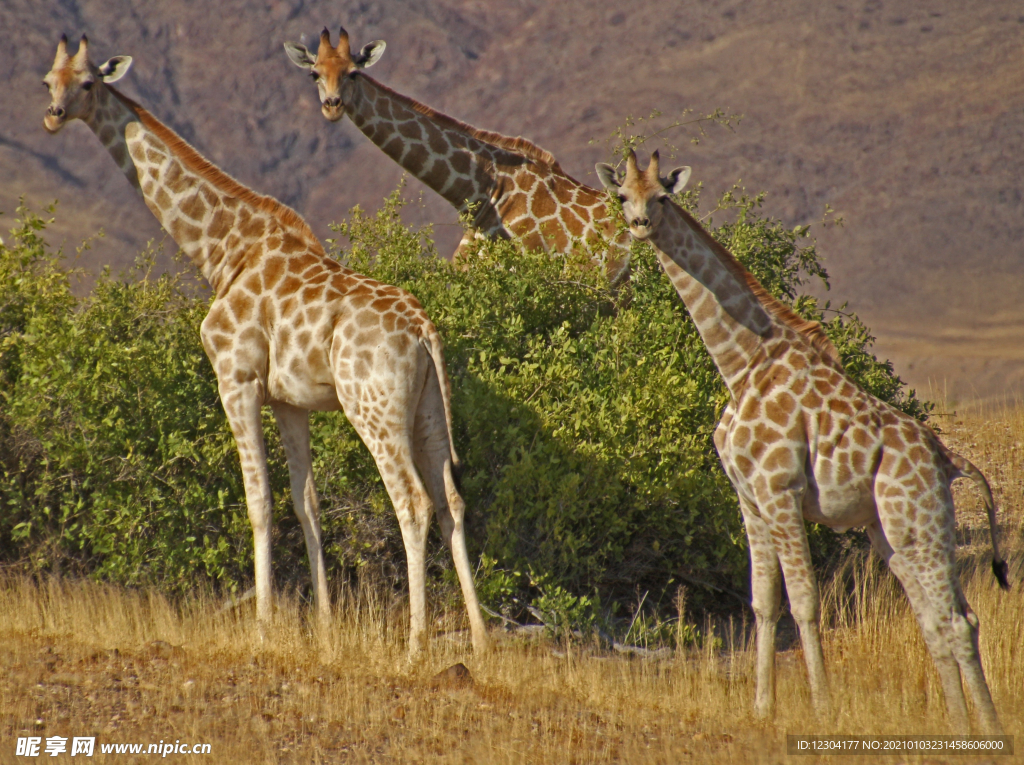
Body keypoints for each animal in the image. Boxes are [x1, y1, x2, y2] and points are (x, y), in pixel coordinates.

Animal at [48, 34, 491, 659]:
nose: (54, 115)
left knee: (412, 501)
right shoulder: (289, 400)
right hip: (427, 409)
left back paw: (414, 644)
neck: (221, 252)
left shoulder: (234, 378)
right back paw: (480, 640)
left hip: (373, 409)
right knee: (451, 502)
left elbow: (258, 502)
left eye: (87, 83)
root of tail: (424, 329)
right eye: (48, 79)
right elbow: (307, 505)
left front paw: (262, 626)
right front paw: (324, 628)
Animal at [598, 151, 1011, 737]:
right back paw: (958, 729)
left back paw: (990, 733)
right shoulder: (748, 499)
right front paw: (761, 706)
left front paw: (822, 709)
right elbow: (763, 602)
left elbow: (804, 603)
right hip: (890, 531)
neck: (740, 363)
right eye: (622, 196)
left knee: (957, 619)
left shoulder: (781, 491)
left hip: (920, 522)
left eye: (662, 196)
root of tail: (948, 459)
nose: (638, 225)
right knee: (936, 619)